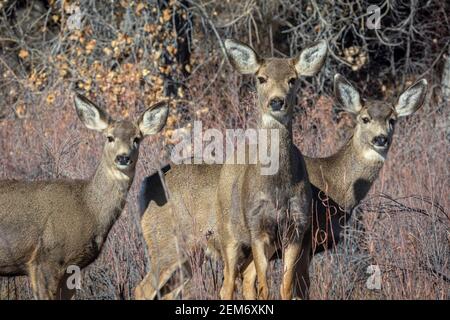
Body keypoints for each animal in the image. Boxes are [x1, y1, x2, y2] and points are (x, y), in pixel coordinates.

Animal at [134, 38, 326, 300]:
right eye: (261, 78)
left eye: (293, 79)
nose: (277, 101)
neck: (277, 187)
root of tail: (146, 184)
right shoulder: (257, 228)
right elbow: (264, 288)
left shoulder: (296, 228)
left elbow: (285, 288)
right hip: (171, 242)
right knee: (145, 288)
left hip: (190, 255)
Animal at [239, 73, 428, 300]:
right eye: (365, 118)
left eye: (392, 120)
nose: (381, 138)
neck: (333, 185)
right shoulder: (306, 236)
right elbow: (301, 287)